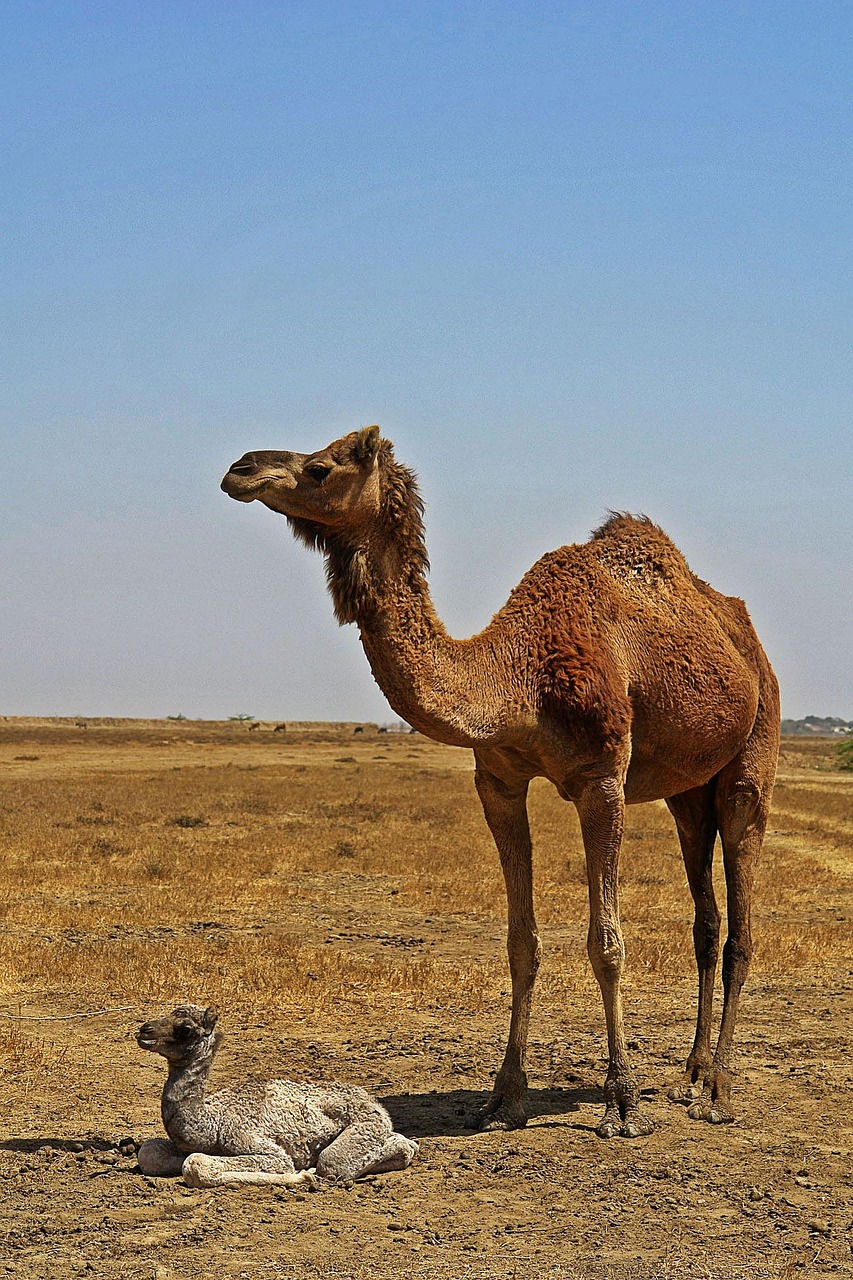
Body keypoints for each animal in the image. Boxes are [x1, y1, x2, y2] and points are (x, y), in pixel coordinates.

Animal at [135, 1004, 418, 1187]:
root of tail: (375, 1102)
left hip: (367, 1124)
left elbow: (196, 1164)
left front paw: (302, 1175)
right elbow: (149, 1153)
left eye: (184, 1028)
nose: (144, 1031)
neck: (212, 1124)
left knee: (335, 1163)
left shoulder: (255, 1143)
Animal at [220, 426, 779, 1138]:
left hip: (752, 759)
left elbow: (607, 944)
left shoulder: (602, 776)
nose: (241, 468)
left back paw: (717, 1089)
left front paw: (621, 1101)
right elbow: (520, 940)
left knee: (740, 920)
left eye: (319, 468)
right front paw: (502, 1095)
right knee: (705, 919)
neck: (518, 678)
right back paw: (692, 1069)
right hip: (688, 790)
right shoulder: (498, 781)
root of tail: (746, 640)